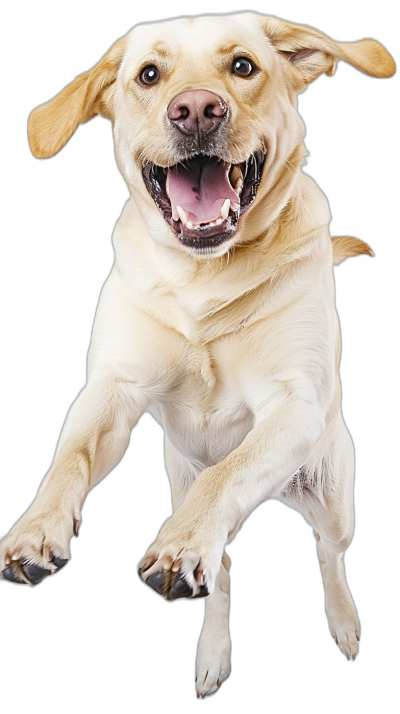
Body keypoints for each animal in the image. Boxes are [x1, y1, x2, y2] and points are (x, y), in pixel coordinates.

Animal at [0, 11, 394, 700]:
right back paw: (212, 656)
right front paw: (35, 528)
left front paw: (182, 545)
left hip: (332, 493)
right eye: (148, 75)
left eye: (242, 65)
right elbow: (68, 459)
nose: (196, 110)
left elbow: (227, 474)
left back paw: (343, 625)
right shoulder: (111, 389)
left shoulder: (294, 404)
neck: (203, 276)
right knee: (227, 566)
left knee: (329, 553)